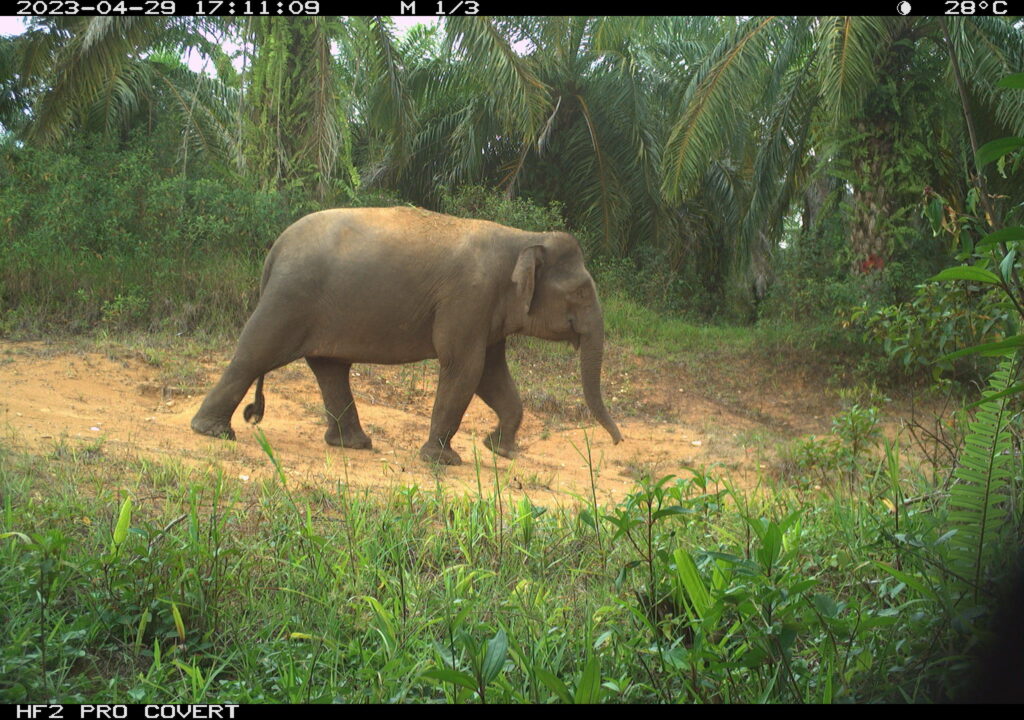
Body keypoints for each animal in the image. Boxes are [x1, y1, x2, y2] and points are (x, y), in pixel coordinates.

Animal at [191, 205, 622, 464]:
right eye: (581, 292)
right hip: (289, 299)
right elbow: (464, 368)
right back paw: (213, 432)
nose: (618, 441)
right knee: (255, 353)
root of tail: (275, 248)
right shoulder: (468, 298)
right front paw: (443, 461)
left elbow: (492, 375)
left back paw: (354, 444)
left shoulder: (487, 312)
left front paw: (501, 450)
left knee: (330, 368)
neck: (522, 238)